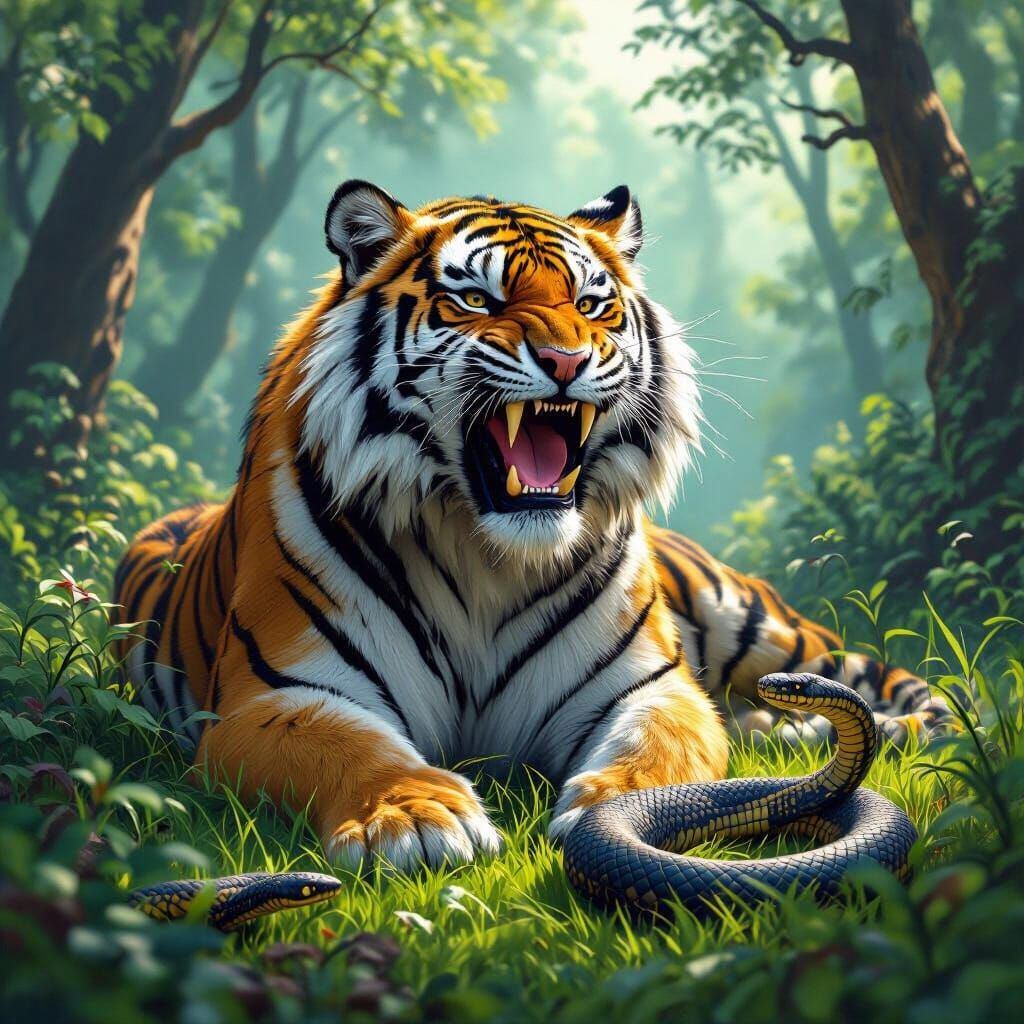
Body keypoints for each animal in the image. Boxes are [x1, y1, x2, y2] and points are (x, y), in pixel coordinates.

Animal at [114, 180, 950, 870]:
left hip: (751, 625)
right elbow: (353, 747)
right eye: (478, 301)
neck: (484, 556)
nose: (566, 360)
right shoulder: (274, 695)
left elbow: (661, 744)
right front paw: (412, 818)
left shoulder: (645, 685)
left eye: (593, 304)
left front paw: (626, 812)